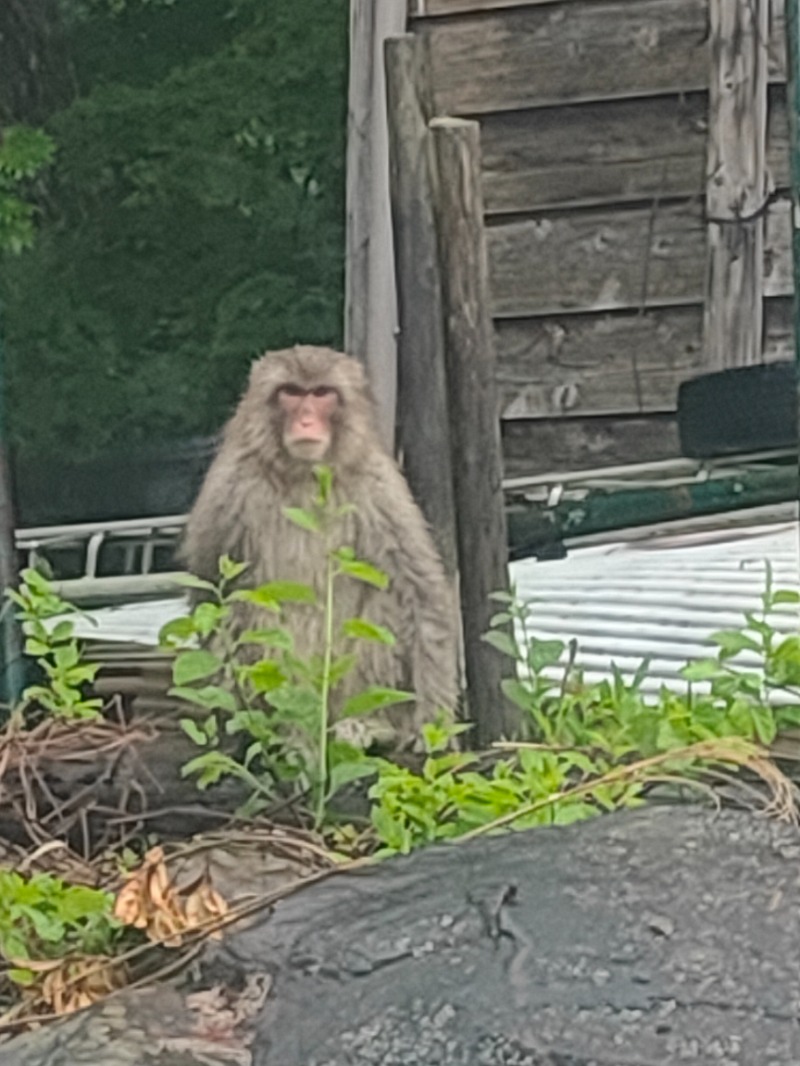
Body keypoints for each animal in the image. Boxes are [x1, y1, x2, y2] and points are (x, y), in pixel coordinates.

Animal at [180, 343, 456, 750]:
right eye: (291, 393)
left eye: (322, 393)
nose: (307, 420)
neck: (306, 475)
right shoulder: (230, 489)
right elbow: (212, 588)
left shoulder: (378, 486)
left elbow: (417, 588)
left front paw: (432, 721)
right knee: (247, 607)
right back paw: (286, 729)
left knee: (385, 598)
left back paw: (369, 723)